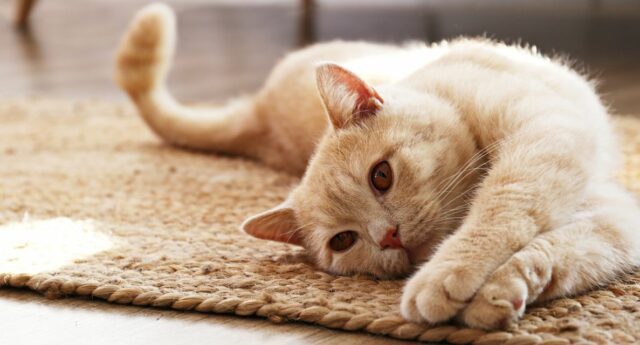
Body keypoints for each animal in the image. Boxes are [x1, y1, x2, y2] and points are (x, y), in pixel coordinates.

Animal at [116, 3, 640, 330]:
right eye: (344, 241)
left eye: (381, 176)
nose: (388, 236)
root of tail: (260, 112)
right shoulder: (612, 218)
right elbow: (556, 251)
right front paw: (495, 292)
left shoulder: (549, 134)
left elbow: (504, 208)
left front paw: (452, 277)